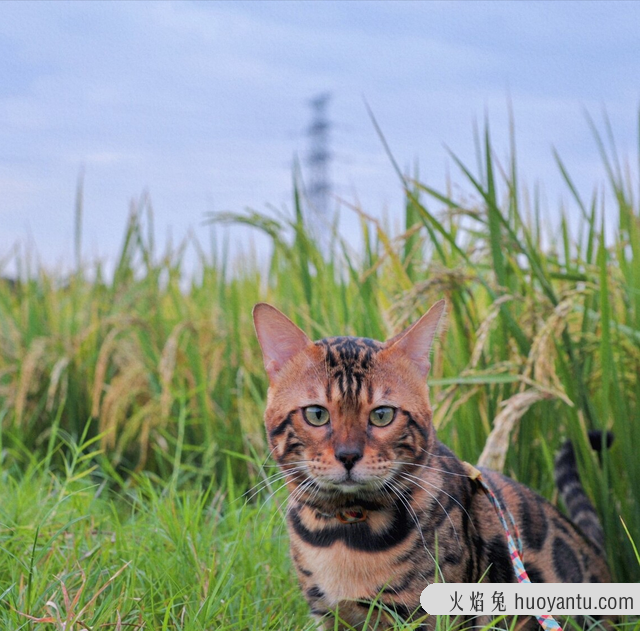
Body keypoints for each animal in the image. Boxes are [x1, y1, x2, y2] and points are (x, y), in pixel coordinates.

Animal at [252, 302, 612, 631]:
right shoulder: (329, 617)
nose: (348, 455)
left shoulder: (427, 616)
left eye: (382, 415)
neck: (345, 533)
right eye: (316, 414)